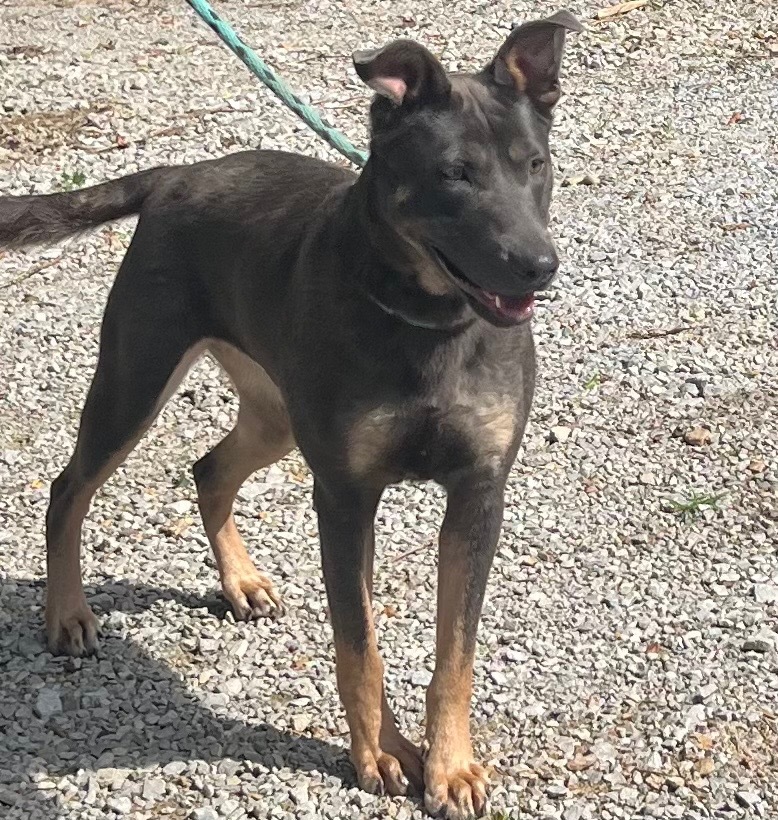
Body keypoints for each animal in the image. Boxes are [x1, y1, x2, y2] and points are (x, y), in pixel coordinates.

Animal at [1, 12, 584, 820]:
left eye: (536, 164)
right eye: (454, 174)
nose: (538, 266)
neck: (427, 318)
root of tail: (176, 175)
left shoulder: (479, 493)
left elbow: (455, 654)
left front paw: (451, 765)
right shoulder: (344, 495)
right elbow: (359, 645)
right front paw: (379, 754)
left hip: (273, 416)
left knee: (209, 469)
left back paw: (239, 581)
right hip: (134, 379)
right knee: (70, 488)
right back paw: (67, 613)